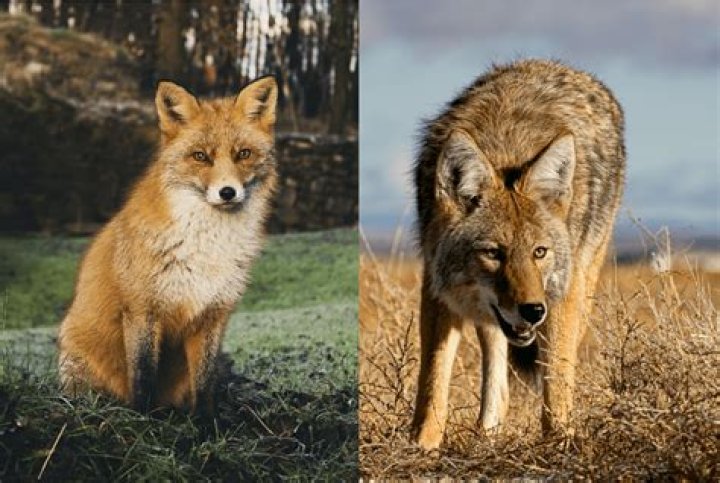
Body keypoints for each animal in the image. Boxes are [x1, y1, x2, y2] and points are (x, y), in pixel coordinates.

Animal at [57, 76, 278, 415]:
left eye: (243, 154)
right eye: (200, 156)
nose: (228, 192)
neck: (207, 247)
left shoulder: (213, 315)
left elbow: (204, 383)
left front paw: (206, 421)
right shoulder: (142, 310)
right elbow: (143, 375)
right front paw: (143, 418)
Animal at [411, 59, 625, 449]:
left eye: (540, 252)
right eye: (493, 253)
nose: (533, 310)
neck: (506, 146)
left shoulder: (562, 293)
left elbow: (557, 381)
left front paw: (559, 444)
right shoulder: (436, 288)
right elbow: (433, 381)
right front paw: (421, 447)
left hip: (583, 285)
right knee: (499, 379)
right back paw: (486, 436)